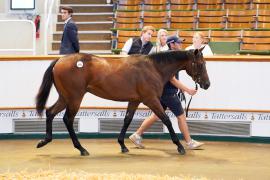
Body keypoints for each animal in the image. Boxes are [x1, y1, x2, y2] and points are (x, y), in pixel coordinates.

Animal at [35, 49, 209, 156]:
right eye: (200, 64)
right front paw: (180, 146)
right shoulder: (151, 100)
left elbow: (127, 120)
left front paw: (123, 145)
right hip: (74, 98)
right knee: (68, 119)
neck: (153, 68)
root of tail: (59, 60)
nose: (207, 84)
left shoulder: (134, 100)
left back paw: (45, 140)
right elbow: (166, 120)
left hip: (65, 98)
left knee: (50, 112)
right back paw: (81, 148)